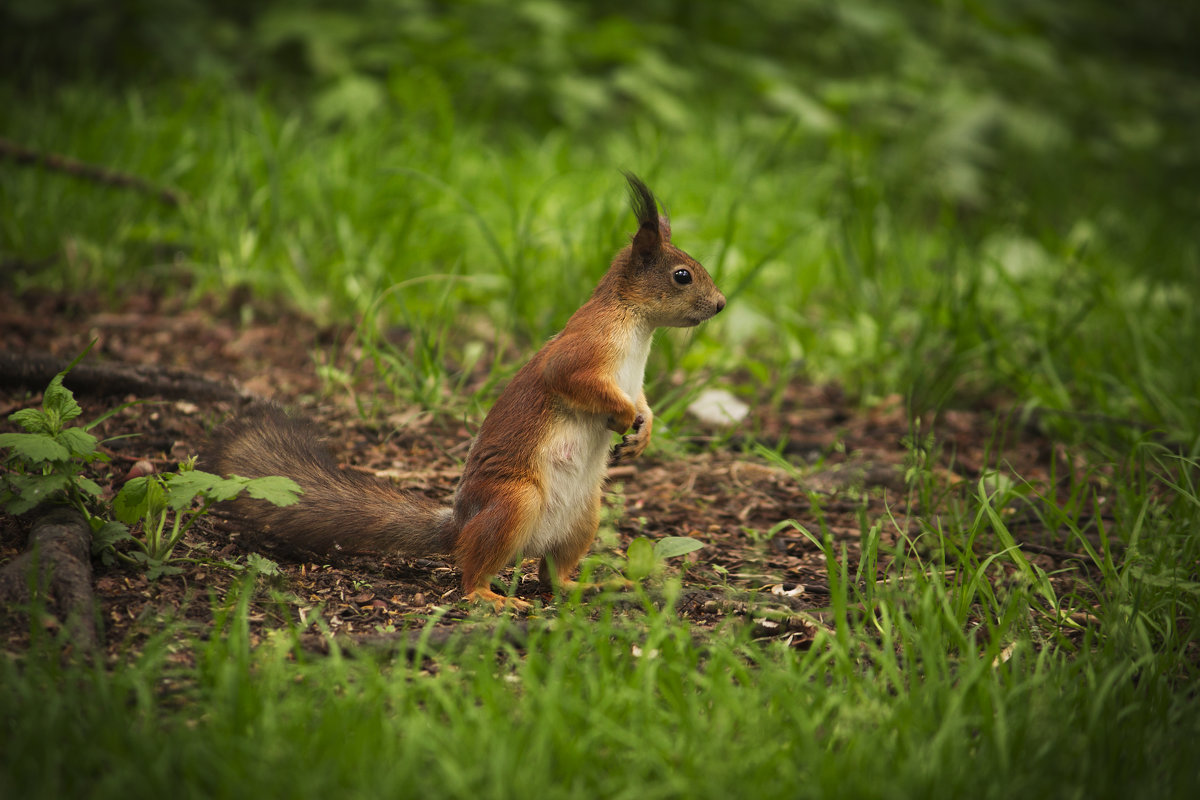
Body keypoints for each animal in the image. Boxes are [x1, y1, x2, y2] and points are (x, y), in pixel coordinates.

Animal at [202, 175, 724, 609]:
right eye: (682, 275)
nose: (720, 304)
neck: (637, 328)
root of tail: (460, 525)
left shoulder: (636, 380)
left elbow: (644, 402)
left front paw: (644, 431)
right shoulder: (582, 351)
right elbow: (575, 382)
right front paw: (621, 417)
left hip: (584, 517)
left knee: (551, 574)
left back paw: (588, 585)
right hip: (514, 501)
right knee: (472, 571)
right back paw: (491, 598)